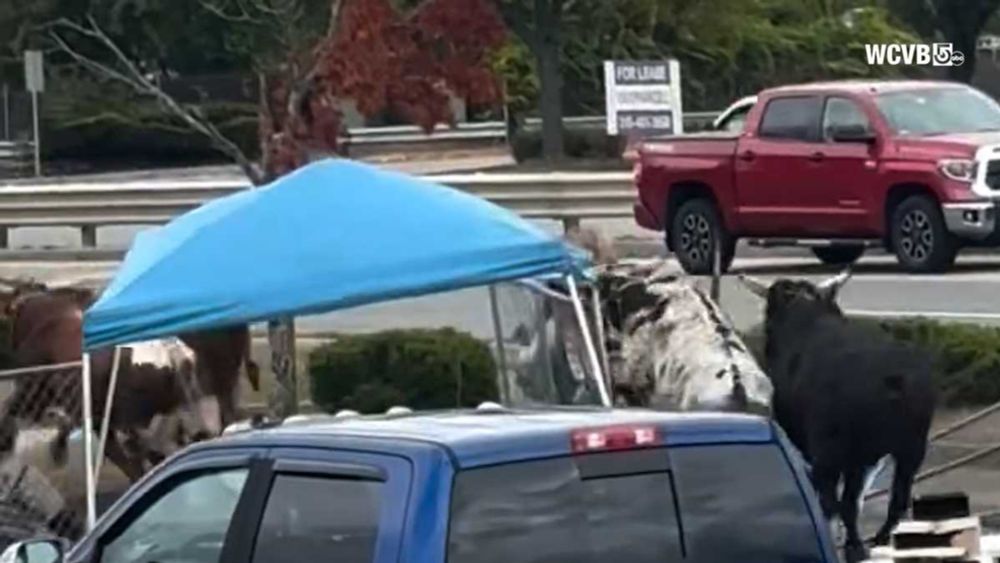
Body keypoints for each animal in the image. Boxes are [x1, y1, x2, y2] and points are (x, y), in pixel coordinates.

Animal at [740, 270, 932, 560]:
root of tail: (892, 378)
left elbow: (836, 502)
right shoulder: (862, 460)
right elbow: (851, 501)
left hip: (832, 451)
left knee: (834, 502)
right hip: (910, 450)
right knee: (895, 501)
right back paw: (876, 542)